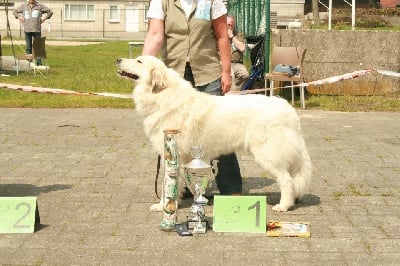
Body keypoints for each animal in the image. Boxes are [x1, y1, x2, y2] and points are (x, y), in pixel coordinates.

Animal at [115, 55, 312, 212]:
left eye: (139, 61)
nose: (118, 59)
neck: (162, 95)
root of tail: (288, 109)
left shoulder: (171, 155)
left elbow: (167, 185)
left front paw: (163, 205)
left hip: (267, 154)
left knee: (286, 180)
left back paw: (283, 205)